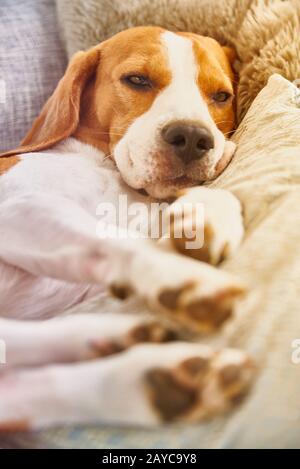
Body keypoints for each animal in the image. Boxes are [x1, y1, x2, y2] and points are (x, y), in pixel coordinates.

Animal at [0, 27, 253, 430]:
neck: (104, 167)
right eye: (137, 80)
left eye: (221, 96)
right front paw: (176, 273)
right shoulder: (18, 206)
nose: (193, 137)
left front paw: (203, 218)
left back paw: (151, 377)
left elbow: (214, 199)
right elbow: (116, 242)